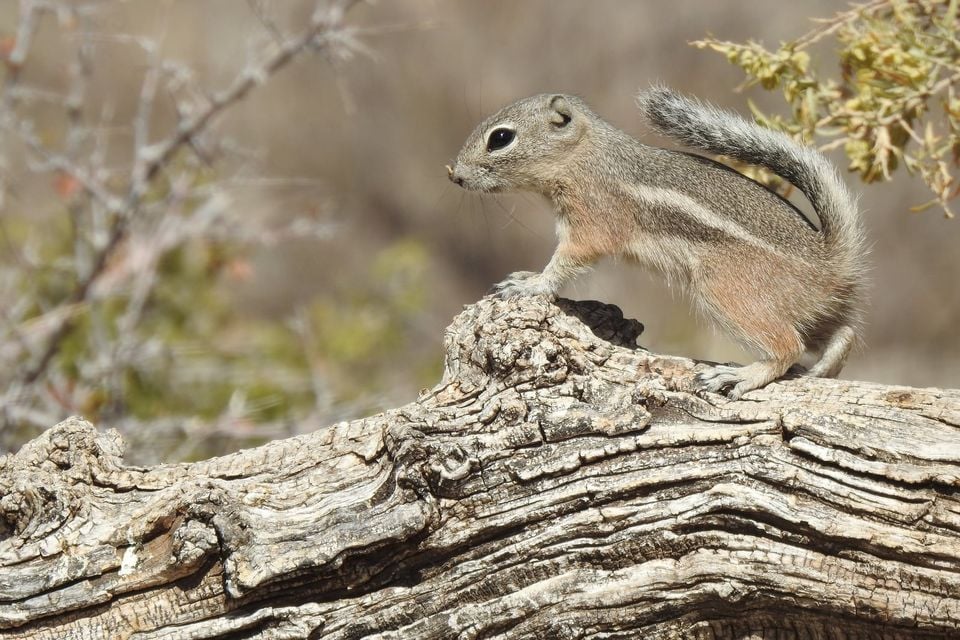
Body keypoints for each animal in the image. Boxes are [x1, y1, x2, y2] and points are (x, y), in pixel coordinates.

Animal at [447, 86, 867, 399]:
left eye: (501, 138)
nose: (453, 174)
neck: (585, 155)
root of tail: (830, 259)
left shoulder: (590, 221)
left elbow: (567, 260)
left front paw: (532, 284)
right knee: (842, 334)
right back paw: (824, 368)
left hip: (728, 291)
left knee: (788, 346)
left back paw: (741, 376)